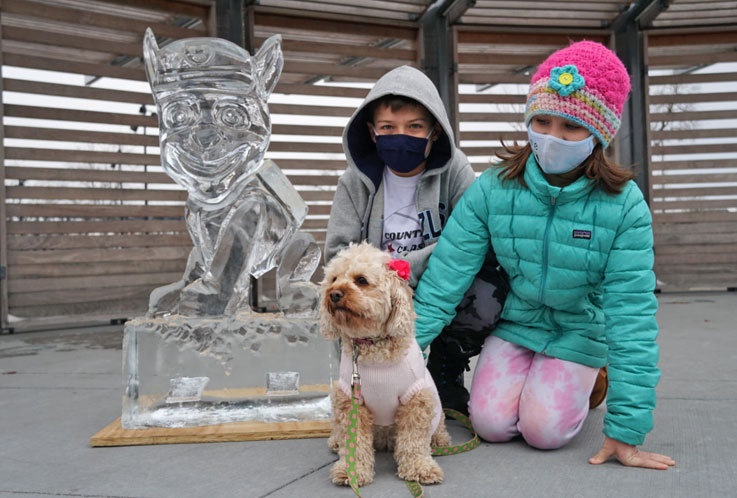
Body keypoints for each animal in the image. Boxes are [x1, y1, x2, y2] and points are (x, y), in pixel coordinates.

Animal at [320, 241, 452, 486]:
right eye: (333, 279)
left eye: (361, 280)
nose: (333, 294)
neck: (373, 344)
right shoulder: (350, 400)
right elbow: (354, 443)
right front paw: (352, 471)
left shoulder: (416, 399)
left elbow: (414, 440)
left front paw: (419, 468)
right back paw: (335, 441)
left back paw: (440, 440)